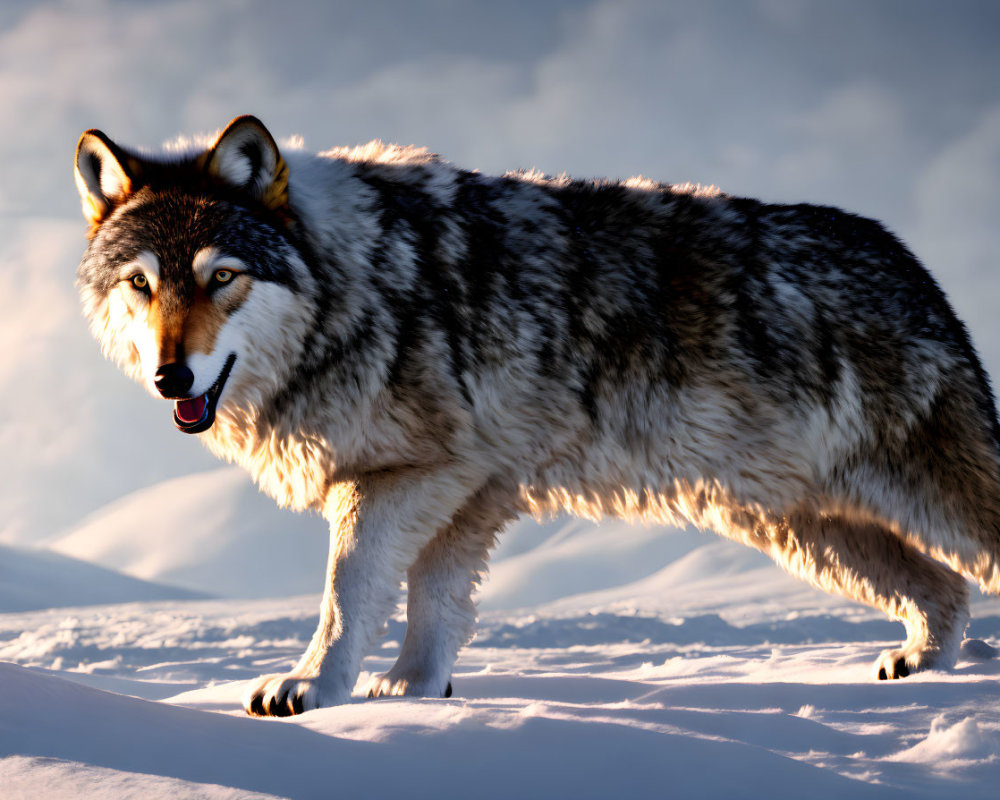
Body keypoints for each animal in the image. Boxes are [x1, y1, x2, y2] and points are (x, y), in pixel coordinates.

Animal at [74, 114, 1000, 720]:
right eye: (142, 285)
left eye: (221, 277)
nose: (169, 375)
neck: (355, 288)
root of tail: (907, 259)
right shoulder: (470, 489)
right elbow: (433, 604)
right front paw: (413, 694)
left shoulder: (409, 477)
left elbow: (350, 590)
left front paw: (313, 688)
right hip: (805, 529)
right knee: (945, 592)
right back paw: (922, 668)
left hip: (903, 508)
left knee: (965, 573)